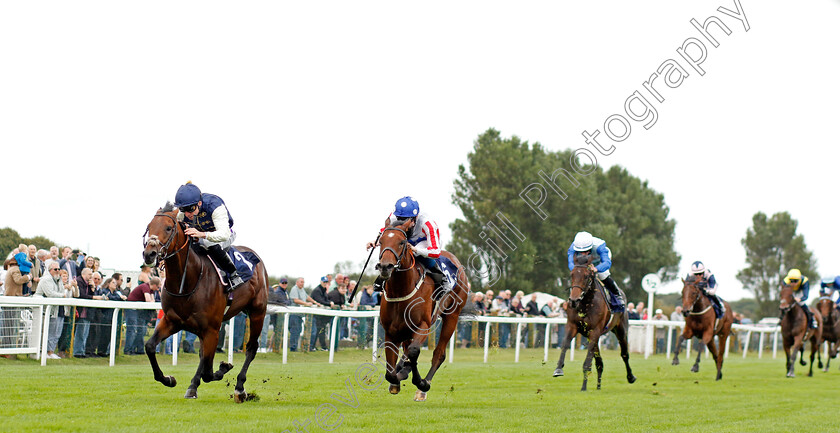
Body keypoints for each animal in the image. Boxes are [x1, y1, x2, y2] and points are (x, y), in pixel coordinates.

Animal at [140, 203, 266, 402]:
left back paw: (239, 388)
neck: (187, 282)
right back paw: (192, 386)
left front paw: (224, 367)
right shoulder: (172, 321)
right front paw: (168, 379)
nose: (149, 254)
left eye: (168, 228)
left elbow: (208, 371)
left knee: (251, 348)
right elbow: (150, 346)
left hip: (257, 312)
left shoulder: (212, 329)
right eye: (149, 227)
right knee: (202, 356)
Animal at [376, 219, 470, 402]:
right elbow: (390, 372)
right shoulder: (391, 330)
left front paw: (419, 382)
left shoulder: (423, 325)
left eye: (401, 242)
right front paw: (396, 379)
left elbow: (414, 351)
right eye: (380, 241)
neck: (401, 290)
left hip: (452, 315)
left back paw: (423, 387)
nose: (385, 267)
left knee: (438, 353)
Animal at [552, 253, 636, 392]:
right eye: (572, 274)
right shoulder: (572, 326)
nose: (573, 300)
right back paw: (598, 386)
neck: (586, 303)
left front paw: (583, 387)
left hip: (621, 330)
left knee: (624, 354)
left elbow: (587, 362)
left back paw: (630, 377)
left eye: (586, 276)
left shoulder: (595, 331)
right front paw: (558, 368)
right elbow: (564, 344)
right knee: (599, 362)